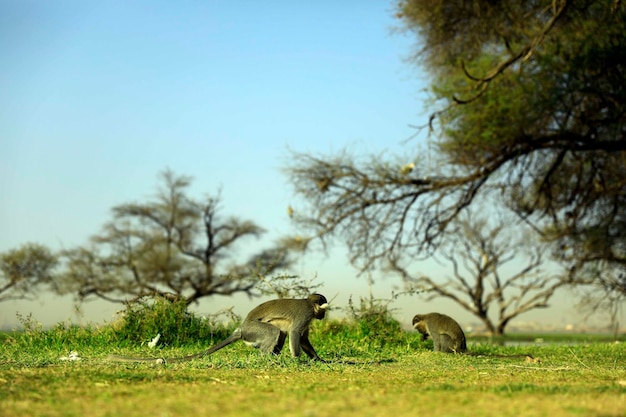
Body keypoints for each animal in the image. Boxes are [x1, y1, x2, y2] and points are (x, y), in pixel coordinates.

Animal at [108, 292, 330, 364]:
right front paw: (298, 360)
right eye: (322, 310)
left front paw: (318, 359)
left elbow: (302, 338)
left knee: (279, 333)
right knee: (275, 332)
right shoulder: (305, 314)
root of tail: (241, 328)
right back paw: (268, 359)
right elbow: (295, 333)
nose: (323, 315)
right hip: (254, 330)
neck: (309, 303)